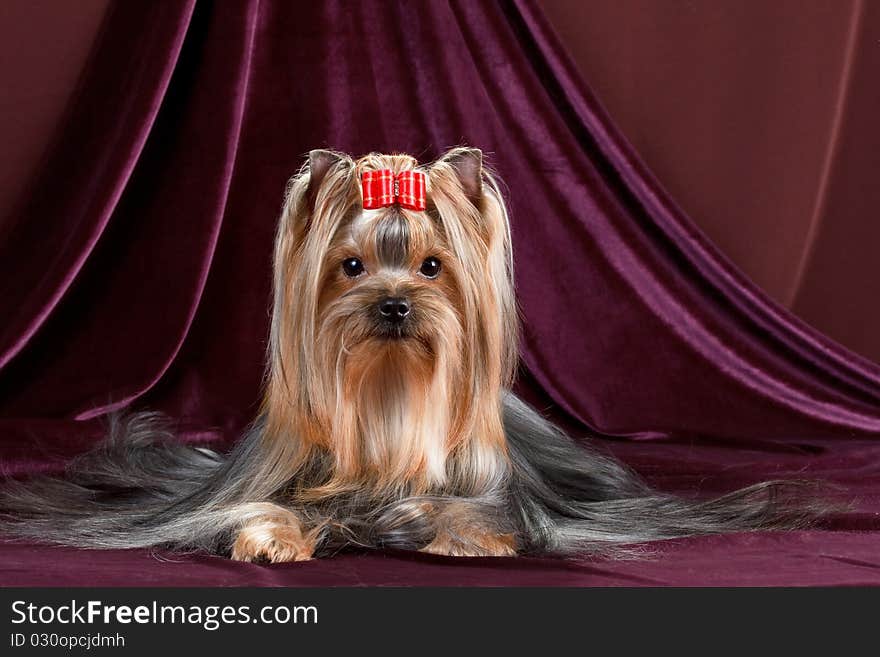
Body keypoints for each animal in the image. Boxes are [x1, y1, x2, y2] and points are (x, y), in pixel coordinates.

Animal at [0, 147, 824, 560]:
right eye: (351, 265)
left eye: (431, 266)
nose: (394, 303)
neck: (388, 391)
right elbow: (257, 507)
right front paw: (272, 538)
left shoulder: (495, 494)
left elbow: (474, 511)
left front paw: (454, 534)